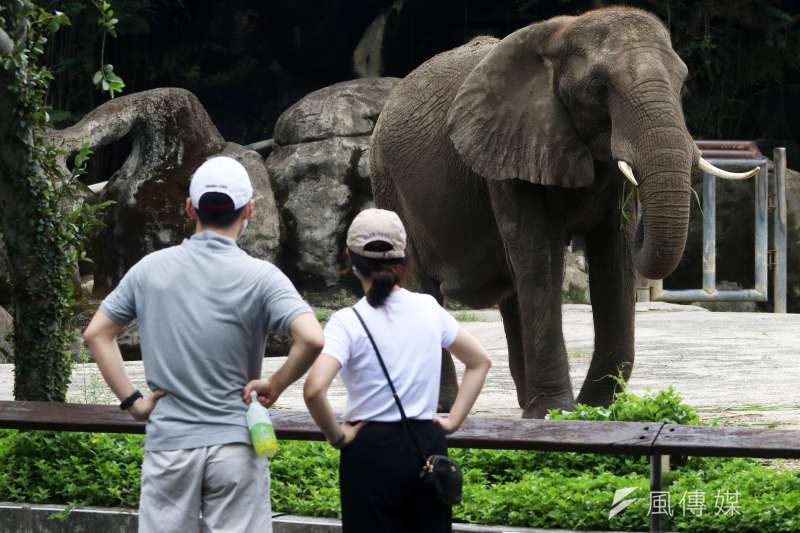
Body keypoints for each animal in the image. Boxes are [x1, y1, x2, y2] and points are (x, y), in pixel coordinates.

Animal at [368, 6, 756, 418]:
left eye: (682, 86)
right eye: (599, 88)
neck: (562, 33)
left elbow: (613, 259)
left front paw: (595, 408)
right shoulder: (507, 154)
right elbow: (539, 258)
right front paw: (559, 410)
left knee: (511, 293)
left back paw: (523, 402)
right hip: (386, 179)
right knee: (420, 282)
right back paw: (438, 405)